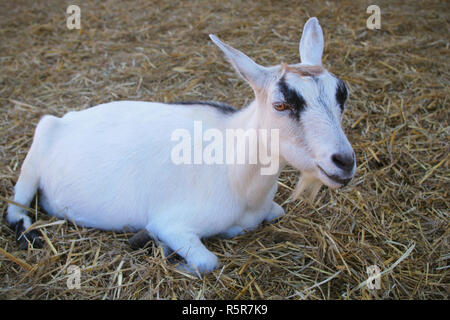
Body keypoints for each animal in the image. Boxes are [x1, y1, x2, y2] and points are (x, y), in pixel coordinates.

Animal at [6, 16, 356, 272]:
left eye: (342, 93)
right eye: (281, 104)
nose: (344, 161)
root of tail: (64, 121)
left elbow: (278, 212)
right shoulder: (173, 223)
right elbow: (207, 261)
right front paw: (160, 248)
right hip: (33, 160)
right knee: (15, 209)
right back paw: (30, 234)